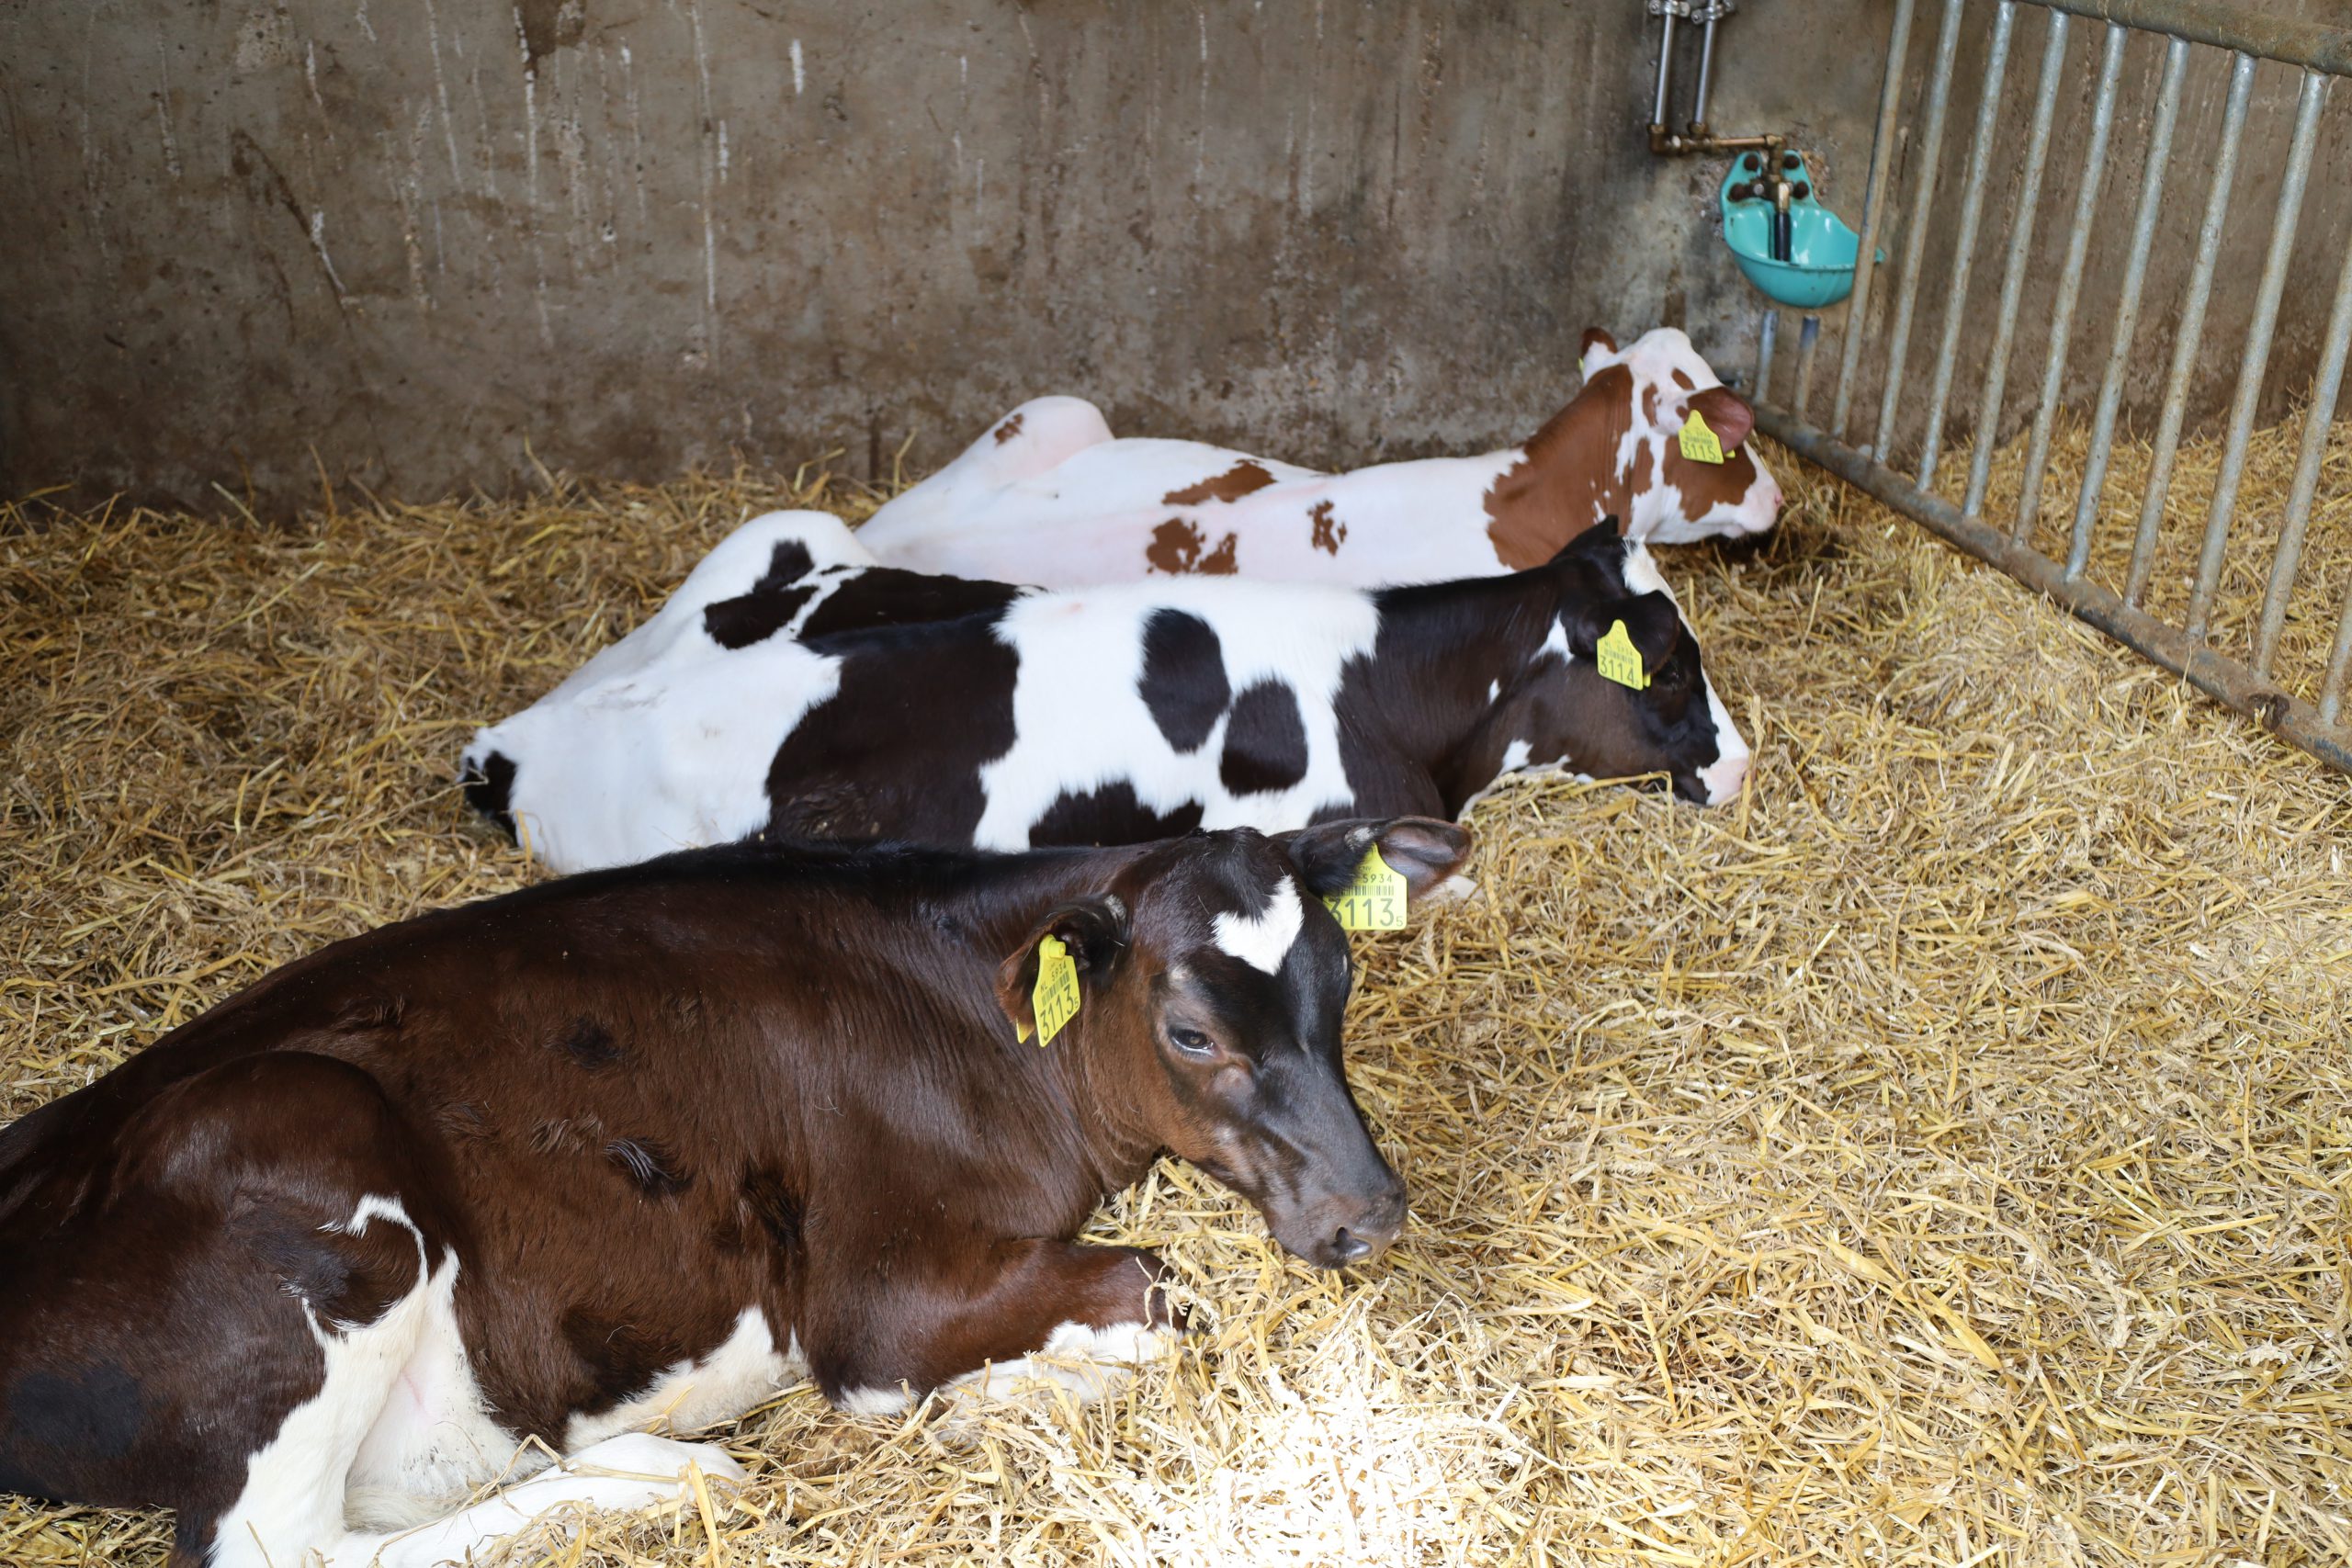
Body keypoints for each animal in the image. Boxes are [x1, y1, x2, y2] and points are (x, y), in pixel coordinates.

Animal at [0, 817, 1473, 1568]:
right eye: (1190, 1034)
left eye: (1343, 980)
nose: (1370, 1210)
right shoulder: (872, 1296)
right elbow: (1152, 1290)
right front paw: (980, 1399)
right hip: (306, 1135)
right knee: (283, 1552)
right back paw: (658, 1475)